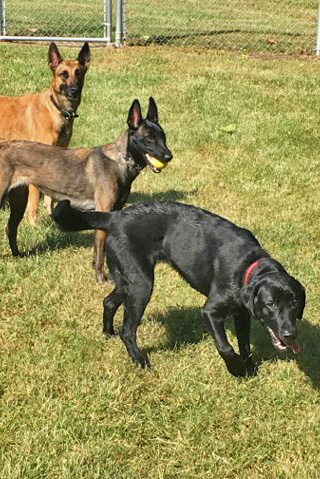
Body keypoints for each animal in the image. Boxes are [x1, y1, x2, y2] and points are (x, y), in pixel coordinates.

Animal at [0, 40, 90, 225]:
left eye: (79, 73)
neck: (55, 109)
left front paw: (51, 215)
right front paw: (33, 223)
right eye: (63, 74)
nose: (74, 90)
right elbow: (34, 199)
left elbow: (51, 197)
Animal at [0, 98, 172, 284]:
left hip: (19, 202)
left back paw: (17, 256)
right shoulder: (103, 211)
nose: (169, 156)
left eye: (163, 137)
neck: (119, 161)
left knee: (10, 229)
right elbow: (100, 255)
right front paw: (101, 280)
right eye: (149, 138)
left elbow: (99, 253)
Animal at [52, 201, 304, 376]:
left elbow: (244, 345)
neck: (248, 265)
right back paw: (140, 362)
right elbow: (225, 347)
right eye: (270, 304)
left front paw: (249, 368)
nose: (290, 334)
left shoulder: (242, 313)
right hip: (142, 284)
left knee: (109, 301)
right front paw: (236, 371)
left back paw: (108, 333)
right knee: (128, 329)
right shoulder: (210, 311)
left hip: (127, 280)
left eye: (294, 304)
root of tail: (114, 216)